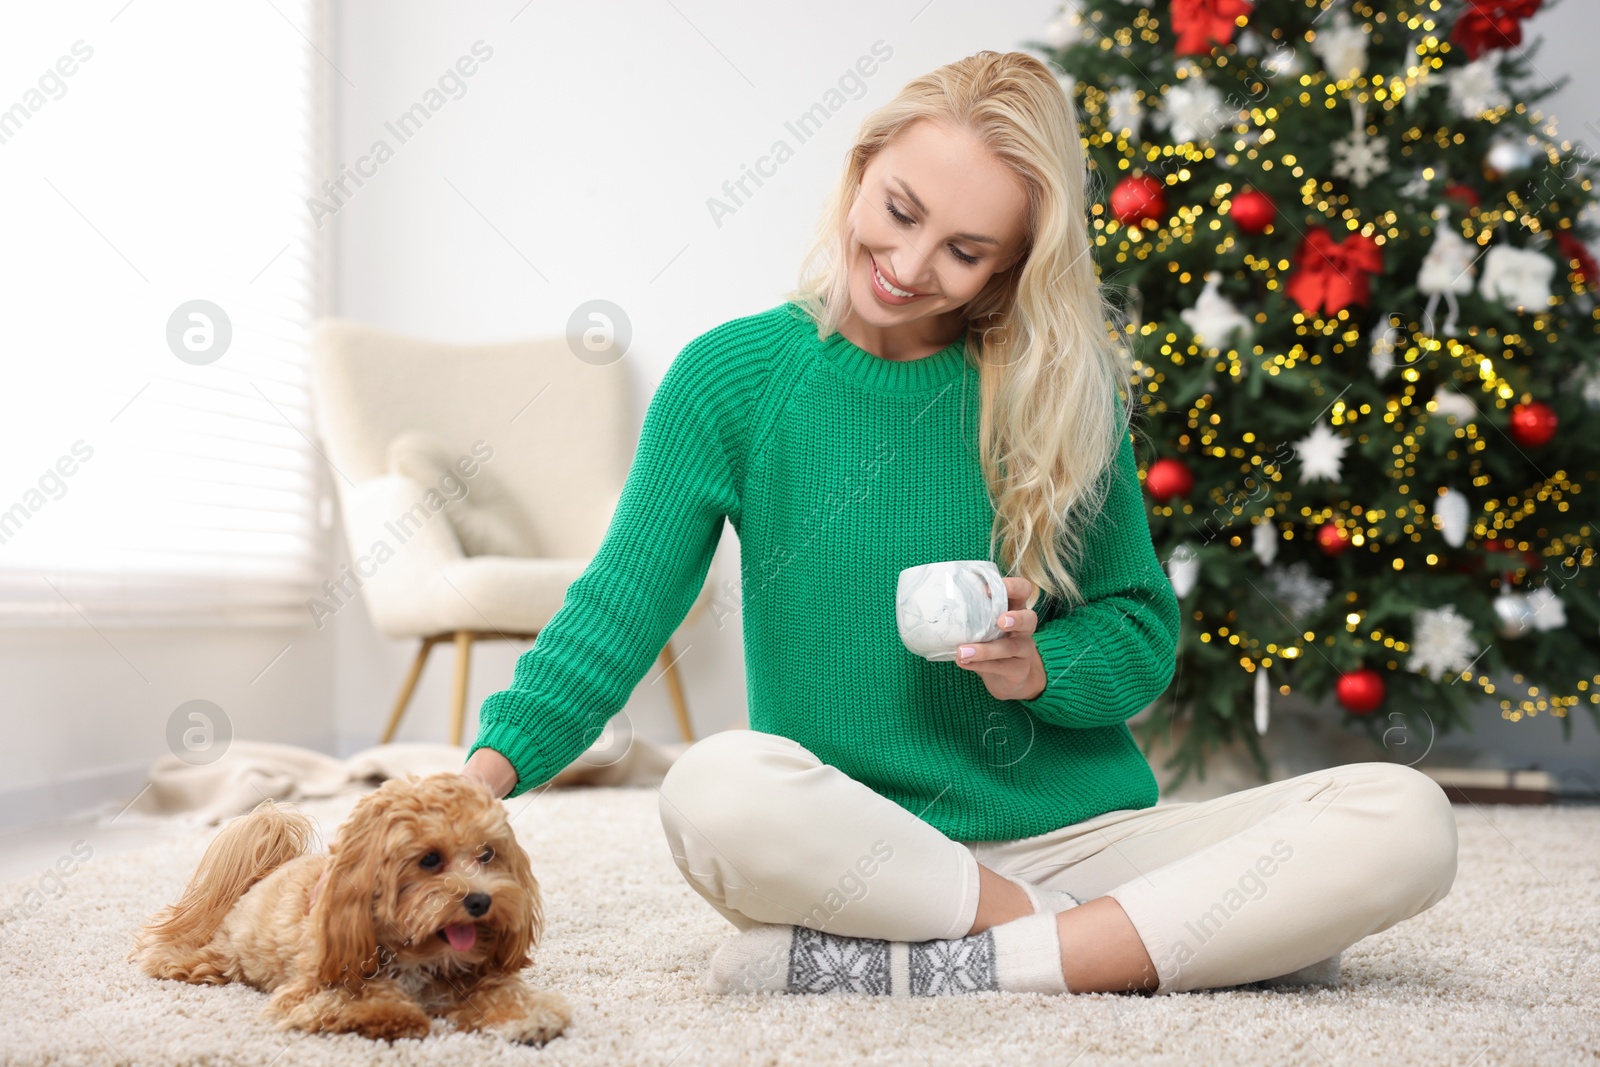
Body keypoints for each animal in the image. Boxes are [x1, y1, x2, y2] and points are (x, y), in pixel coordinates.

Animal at [129, 771, 569, 1049]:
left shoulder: (472, 979)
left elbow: (504, 994)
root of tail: (267, 871)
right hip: (223, 957)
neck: (417, 958)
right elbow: (356, 999)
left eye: (487, 854)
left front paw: (529, 1017)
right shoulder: (311, 987)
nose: (480, 901)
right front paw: (389, 1015)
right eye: (429, 859)